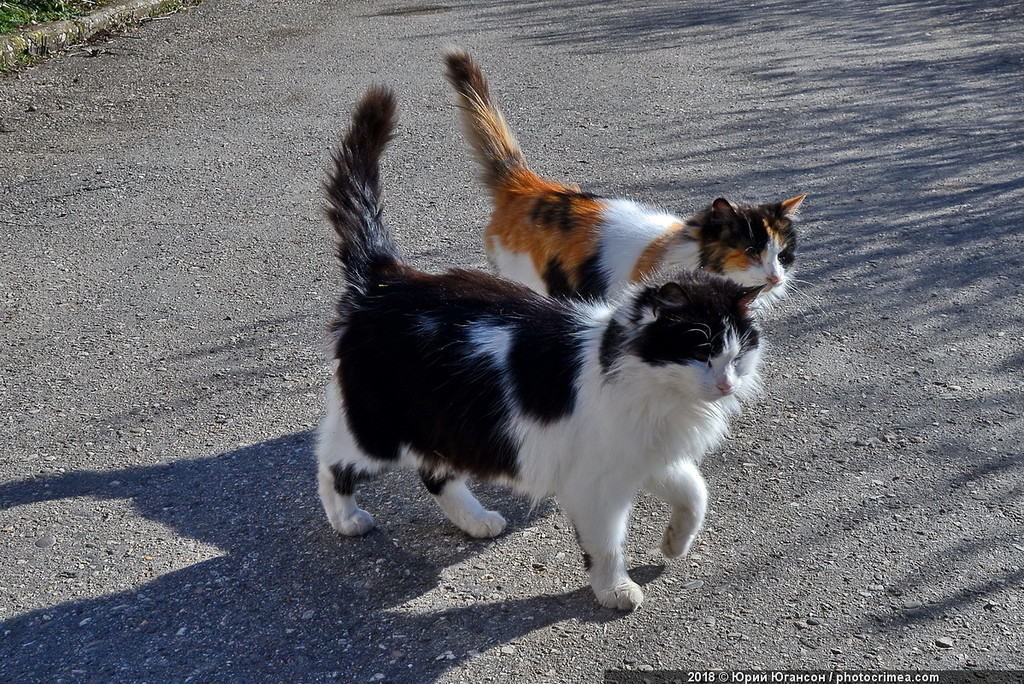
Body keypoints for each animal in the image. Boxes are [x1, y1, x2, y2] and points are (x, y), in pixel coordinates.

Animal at [315, 83, 765, 610]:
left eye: (737, 355)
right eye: (701, 352)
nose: (726, 384)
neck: (647, 385)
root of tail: (386, 277)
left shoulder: (644, 453)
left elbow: (695, 492)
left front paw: (675, 543)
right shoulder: (595, 482)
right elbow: (606, 544)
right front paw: (615, 590)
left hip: (447, 422)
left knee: (435, 473)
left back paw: (476, 520)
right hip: (379, 429)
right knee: (330, 459)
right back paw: (347, 518)